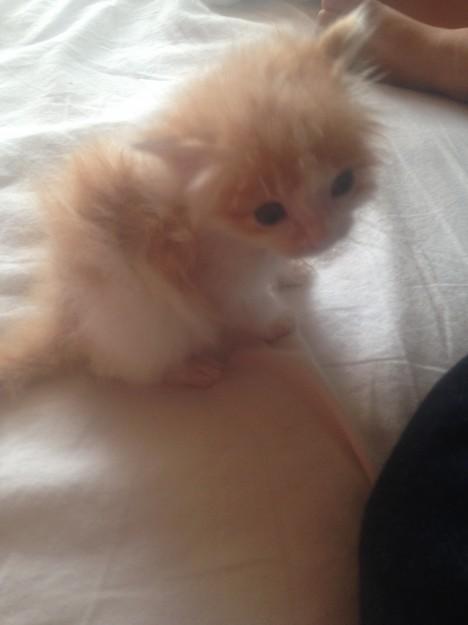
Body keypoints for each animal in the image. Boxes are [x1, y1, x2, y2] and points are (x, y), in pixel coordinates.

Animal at [0, 4, 379, 391]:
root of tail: (66, 319)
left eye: (344, 182)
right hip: (137, 315)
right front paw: (276, 323)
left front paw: (291, 271)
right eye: (268, 214)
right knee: (121, 367)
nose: (322, 236)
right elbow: (253, 307)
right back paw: (191, 370)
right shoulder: (218, 281)